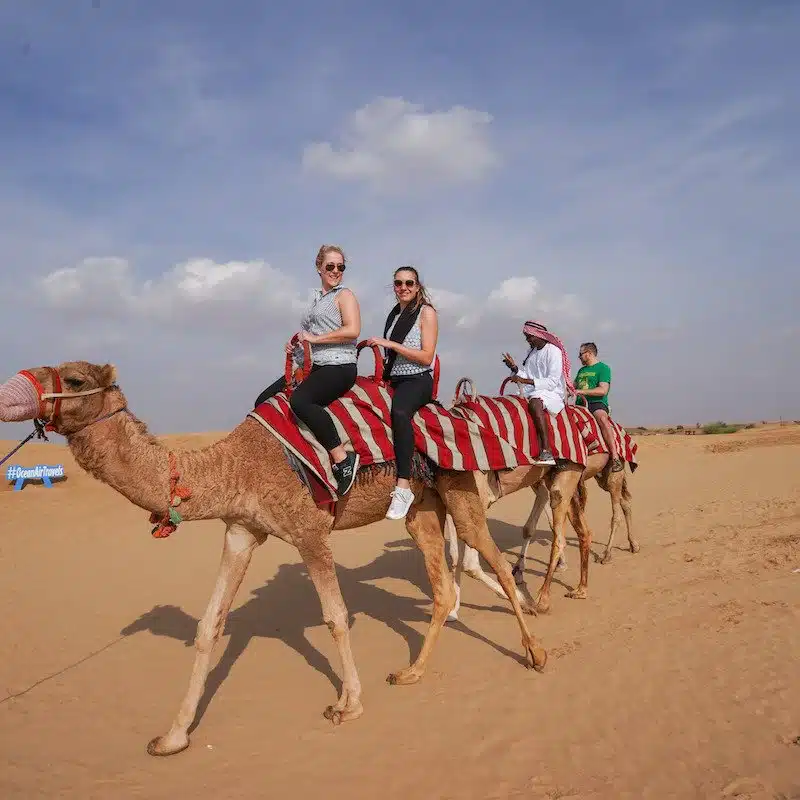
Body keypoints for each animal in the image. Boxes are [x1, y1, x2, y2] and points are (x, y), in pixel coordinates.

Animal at [0, 360, 572, 756]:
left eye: (74, 378)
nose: (13, 392)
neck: (232, 464)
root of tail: (449, 410)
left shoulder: (308, 529)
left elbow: (336, 616)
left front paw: (348, 704)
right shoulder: (242, 530)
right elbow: (209, 624)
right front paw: (172, 736)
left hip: (459, 484)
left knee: (490, 557)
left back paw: (537, 651)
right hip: (421, 503)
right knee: (442, 583)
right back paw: (410, 673)